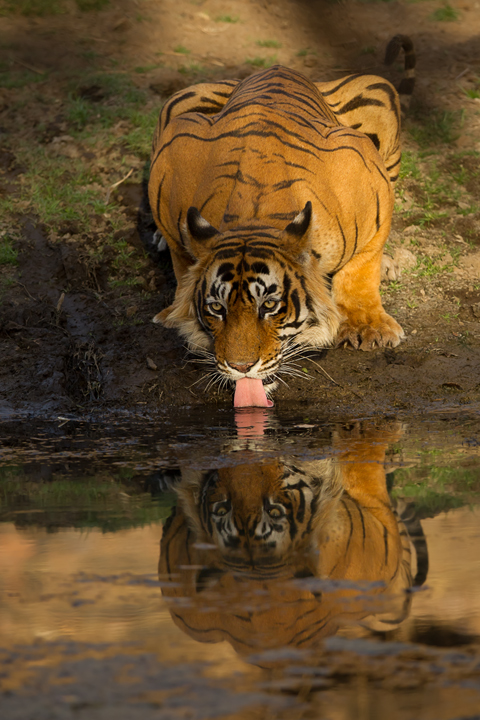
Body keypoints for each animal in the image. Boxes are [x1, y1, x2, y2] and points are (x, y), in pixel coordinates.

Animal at [148, 36, 415, 407]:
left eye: (270, 306)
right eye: (217, 308)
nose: (240, 366)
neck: (253, 218)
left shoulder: (370, 179)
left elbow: (361, 267)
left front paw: (369, 327)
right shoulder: (171, 160)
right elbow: (181, 258)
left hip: (377, 89)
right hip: (182, 99)